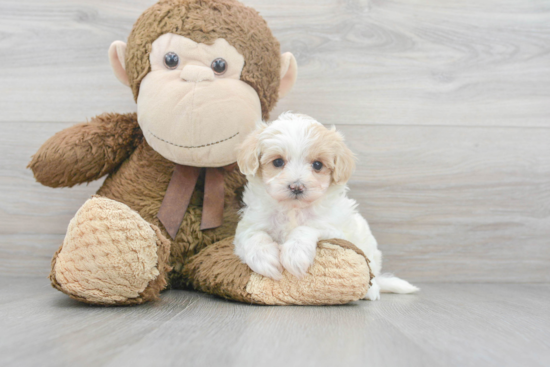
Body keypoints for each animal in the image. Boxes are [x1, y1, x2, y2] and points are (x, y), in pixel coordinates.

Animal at [233, 113, 418, 302]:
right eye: (278, 162)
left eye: (317, 165)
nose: (297, 187)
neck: (293, 209)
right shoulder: (250, 224)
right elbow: (253, 236)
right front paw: (265, 259)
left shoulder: (334, 228)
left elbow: (307, 227)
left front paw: (294, 253)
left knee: (372, 273)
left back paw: (371, 291)